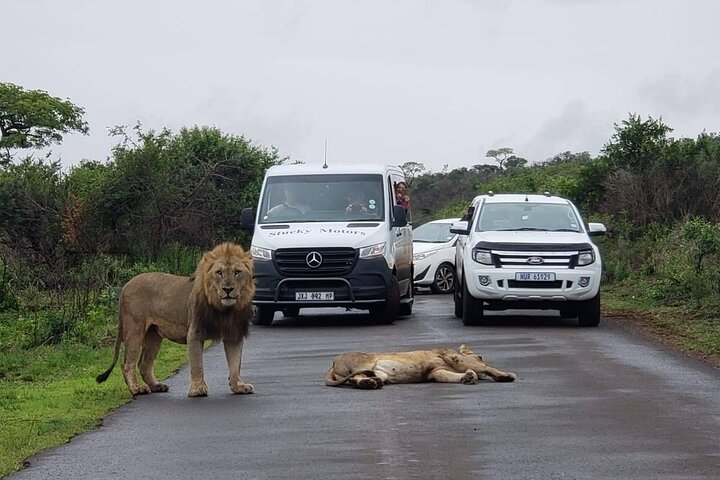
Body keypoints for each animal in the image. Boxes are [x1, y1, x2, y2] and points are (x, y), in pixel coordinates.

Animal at [97, 244, 256, 398]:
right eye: (219, 272)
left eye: (237, 272)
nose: (228, 289)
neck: (224, 309)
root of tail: (125, 286)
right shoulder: (194, 333)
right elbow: (197, 364)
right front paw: (198, 390)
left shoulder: (234, 335)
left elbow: (235, 363)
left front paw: (238, 386)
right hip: (134, 329)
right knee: (127, 364)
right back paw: (137, 389)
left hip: (154, 335)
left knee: (144, 363)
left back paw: (156, 386)